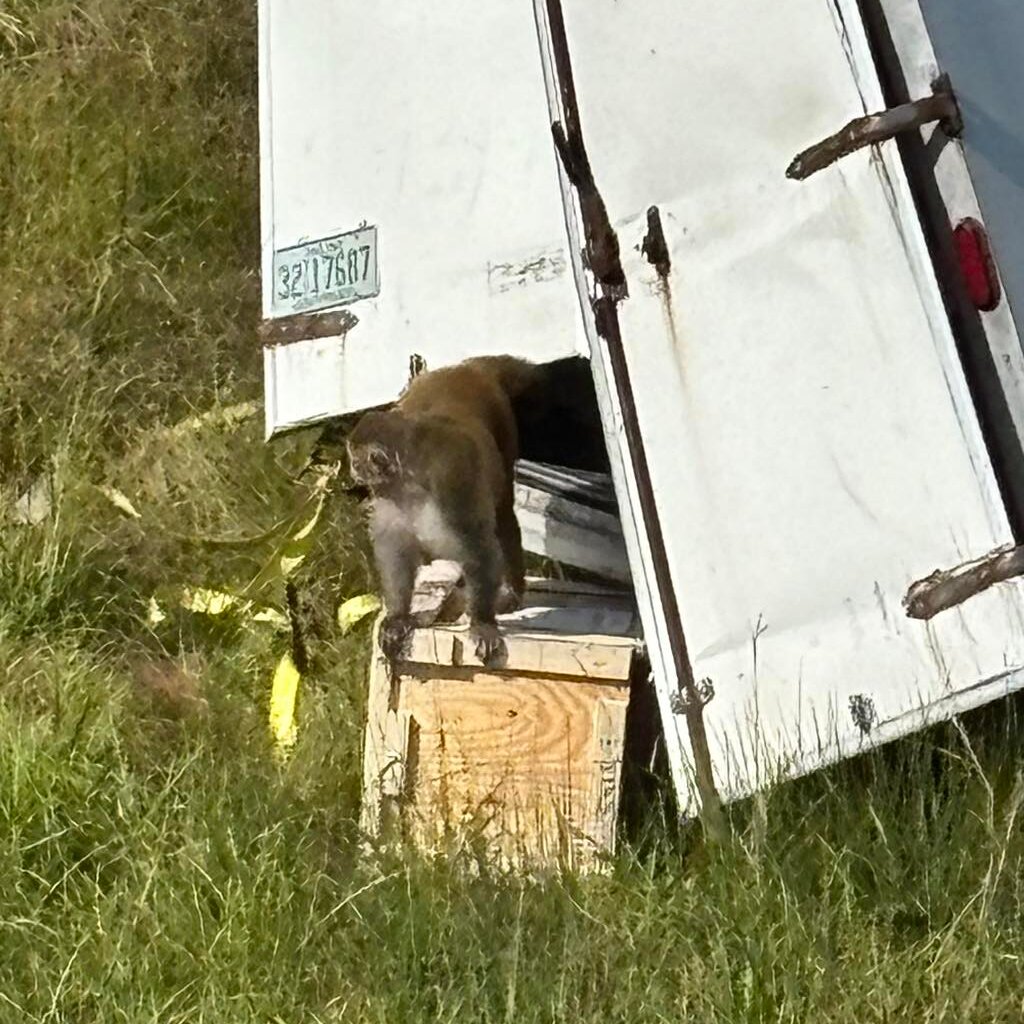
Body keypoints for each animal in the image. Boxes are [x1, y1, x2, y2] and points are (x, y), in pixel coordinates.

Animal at [346, 355, 542, 667]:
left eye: (356, 460)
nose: (353, 470)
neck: (410, 482)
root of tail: (465, 368)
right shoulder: (389, 499)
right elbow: (396, 552)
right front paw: (398, 617)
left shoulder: (452, 484)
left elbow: (479, 547)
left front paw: (482, 623)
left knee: (502, 515)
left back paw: (511, 591)